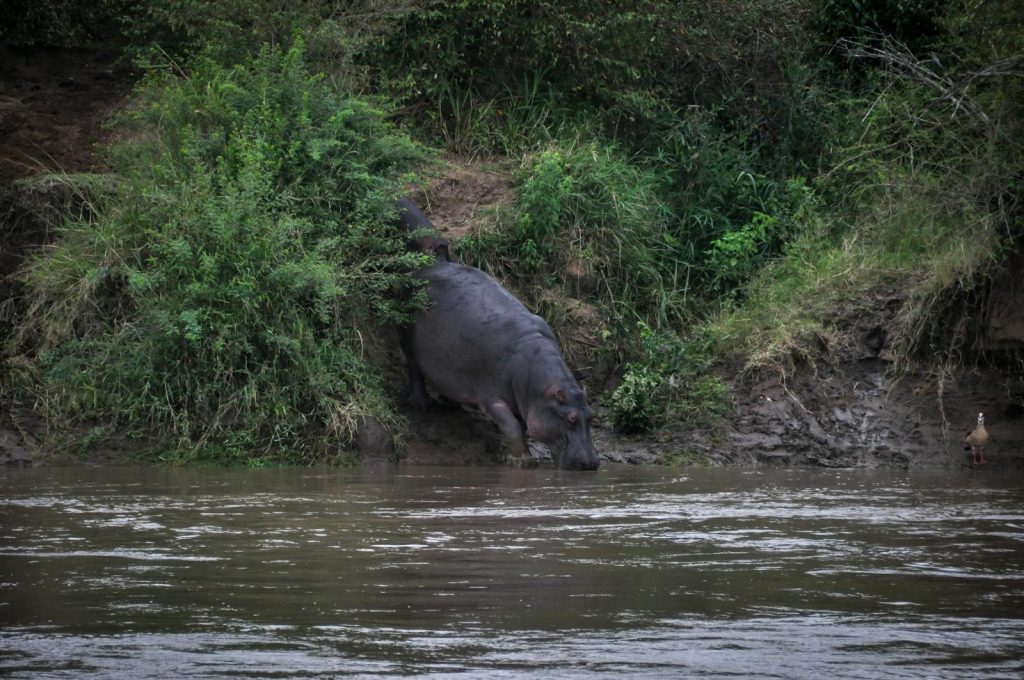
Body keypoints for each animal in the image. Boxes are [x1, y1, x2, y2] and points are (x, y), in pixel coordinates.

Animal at [401, 260, 600, 471]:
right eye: (571, 418)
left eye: (591, 415)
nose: (591, 463)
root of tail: (422, 269)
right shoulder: (492, 398)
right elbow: (511, 425)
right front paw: (523, 461)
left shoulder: (523, 400)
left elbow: (520, 425)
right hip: (407, 339)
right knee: (414, 369)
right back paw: (421, 405)